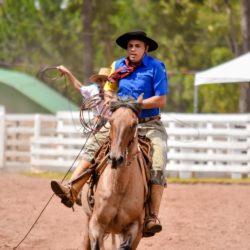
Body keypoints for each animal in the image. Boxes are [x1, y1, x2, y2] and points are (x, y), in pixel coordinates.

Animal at [80, 96, 146, 250]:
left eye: (134, 124)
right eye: (110, 121)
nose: (115, 158)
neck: (119, 187)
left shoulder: (134, 228)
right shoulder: (96, 224)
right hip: (88, 220)